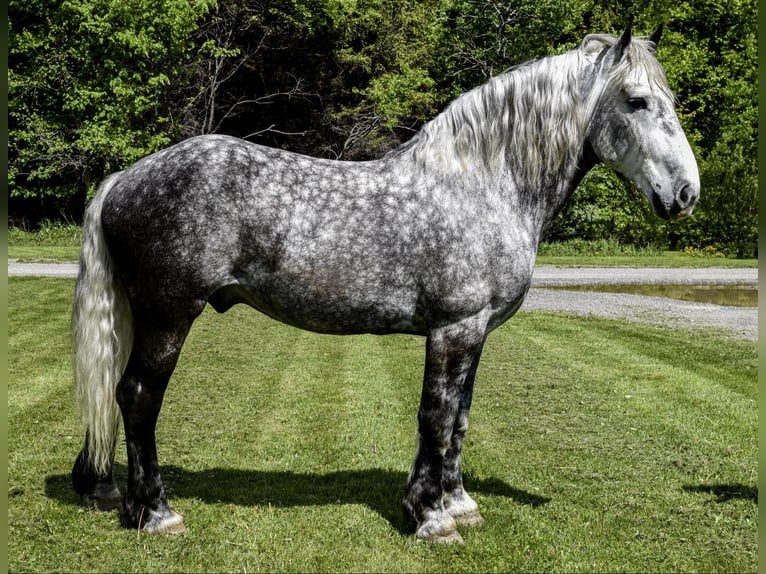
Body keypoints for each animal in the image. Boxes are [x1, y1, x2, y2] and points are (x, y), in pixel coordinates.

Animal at [72, 27, 704, 548]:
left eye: (669, 100)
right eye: (637, 101)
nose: (685, 193)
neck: (482, 183)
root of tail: (124, 179)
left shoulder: (476, 333)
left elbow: (460, 417)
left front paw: (459, 503)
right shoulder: (454, 329)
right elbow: (436, 416)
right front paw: (430, 517)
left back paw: (107, 491)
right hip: (169, 316)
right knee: (138, 397)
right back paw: (156, 513)